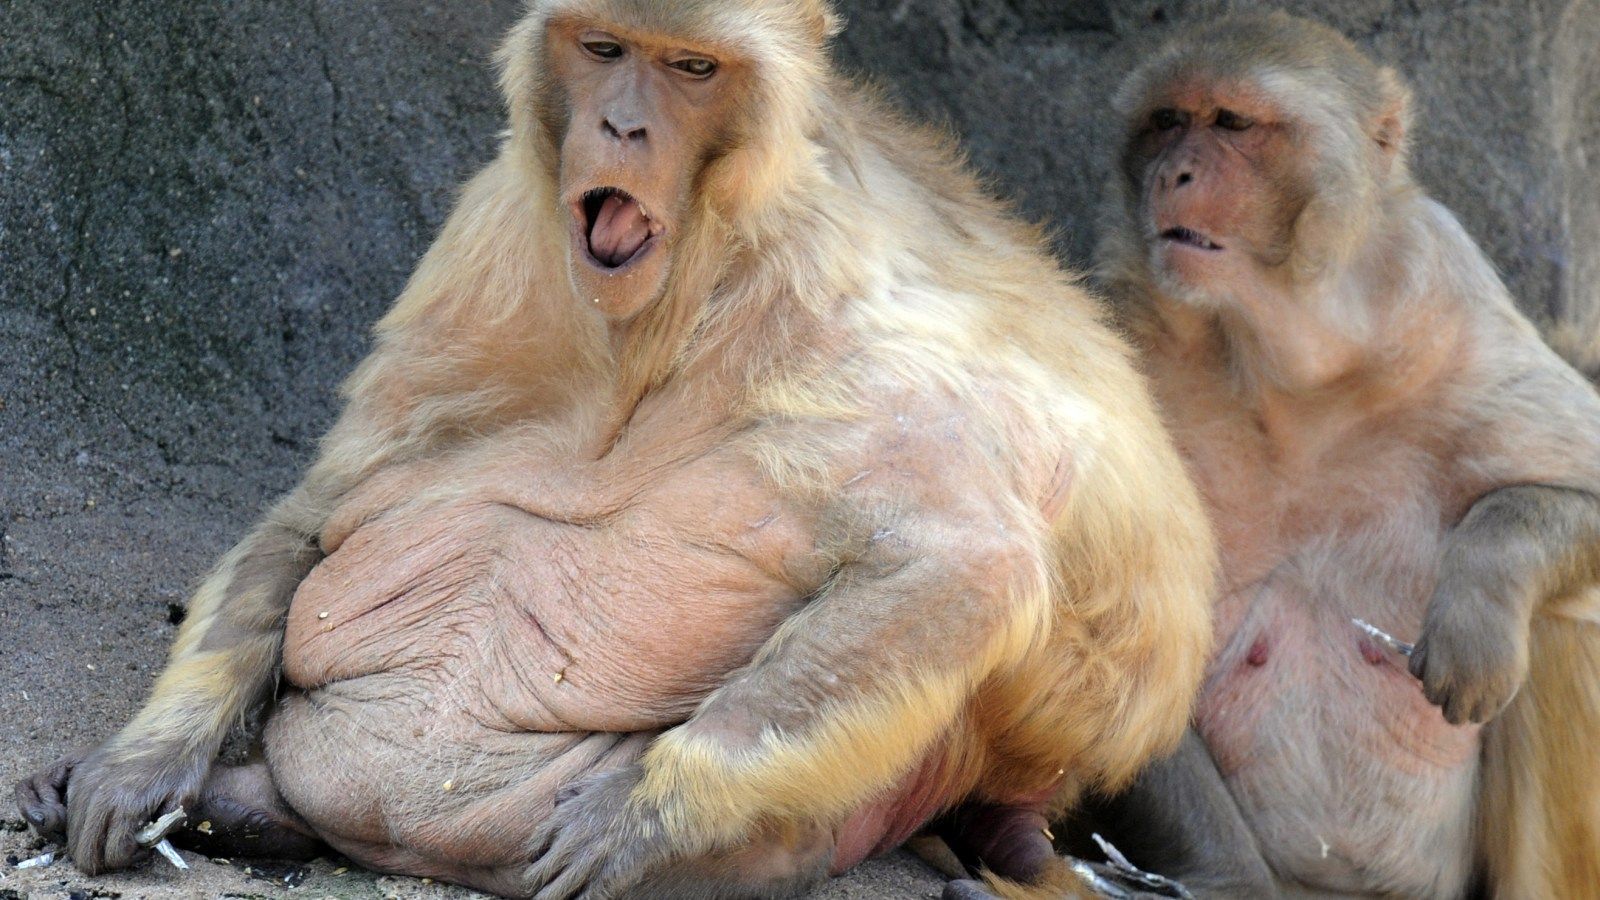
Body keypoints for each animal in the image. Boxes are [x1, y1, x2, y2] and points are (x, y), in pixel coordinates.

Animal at [15, 2, 1216, 897]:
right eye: (604, 49)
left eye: (691, 68)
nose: (626, 128)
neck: (659, 317)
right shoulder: (492, 243)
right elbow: (325, 506)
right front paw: (145, 763)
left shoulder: (834, 297)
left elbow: (966, 565)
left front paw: (643, 820)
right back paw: (227, 805)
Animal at [1076, 11, 1600, 899]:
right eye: (1166, 121)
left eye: (1232, 123)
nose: (1174, 173)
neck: (1293, 366)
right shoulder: (1121, 327)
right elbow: (1122, 639)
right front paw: (1230, 881)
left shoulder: (1448, 297)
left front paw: (1478, 603)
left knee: (1561, 622)